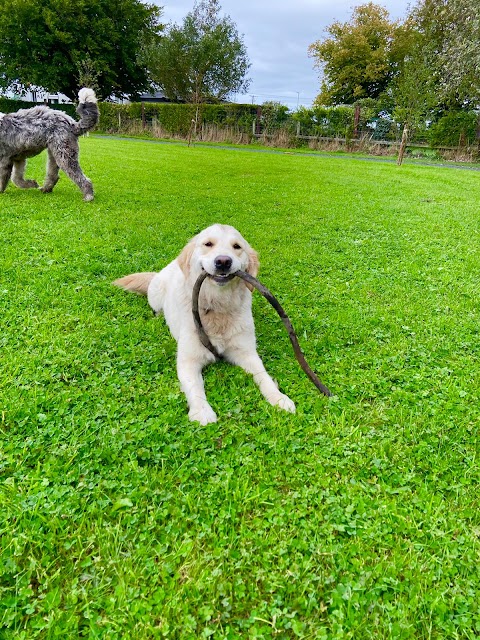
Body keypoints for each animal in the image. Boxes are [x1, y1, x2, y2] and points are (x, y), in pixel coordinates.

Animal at [115, 225, 296, 424]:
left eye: (237, 246)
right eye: (208, 244)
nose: (223, 261)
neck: (217, 306)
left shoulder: (247, 352)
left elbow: (263, 376)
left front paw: (279, 398)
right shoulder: (188, 360)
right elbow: (195, 386)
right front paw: (202, 412)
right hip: (155, 297)